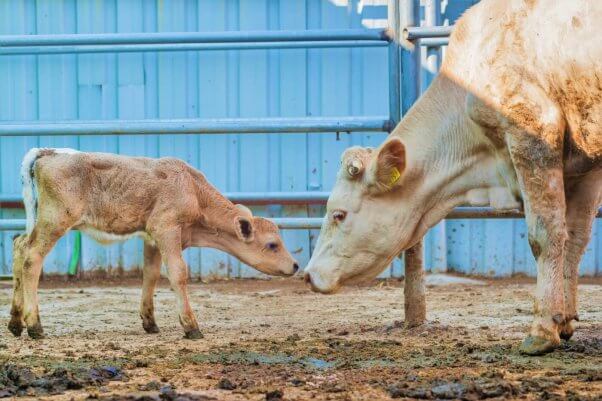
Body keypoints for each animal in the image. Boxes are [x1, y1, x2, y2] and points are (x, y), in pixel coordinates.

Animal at [8, 148, 298, 340]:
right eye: (273, 244)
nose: (295, 265)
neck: (192, 189)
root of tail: (50, 152)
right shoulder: (166, 229)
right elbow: (178, 273)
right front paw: (191, 326)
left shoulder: (152, 238)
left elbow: (151, 274)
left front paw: (150, 322)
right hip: (54, 220)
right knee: (32, 258)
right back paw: (34, 326)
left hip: (39, 221)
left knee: (19, 246)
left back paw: (15, 322)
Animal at [304, 0, 600, 356]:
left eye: (339, 214)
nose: (308, 275)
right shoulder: (585, 165)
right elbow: (575, 239)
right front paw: (565, 321)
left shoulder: (533, 134)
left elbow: (545, 236)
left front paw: (542, 330)